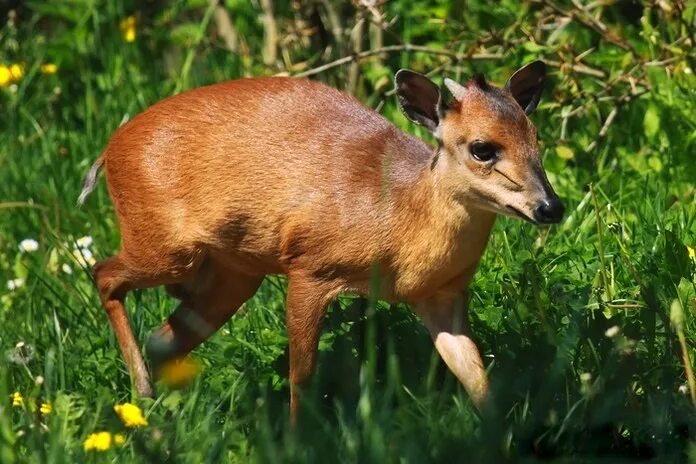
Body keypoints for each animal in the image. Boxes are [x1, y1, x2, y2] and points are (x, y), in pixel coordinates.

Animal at [79, 60, 564, 420]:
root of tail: (107, 151)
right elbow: (302, 375)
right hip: (164, 245)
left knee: (162, 337)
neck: (400, 218)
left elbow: (476, 375)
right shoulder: (310, 267)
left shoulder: (442, 295)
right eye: (482, 148)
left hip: (233, 274)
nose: (551, 207)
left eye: (536, 139)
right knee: (103, 273)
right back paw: (142, 392)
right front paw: (298, 441)